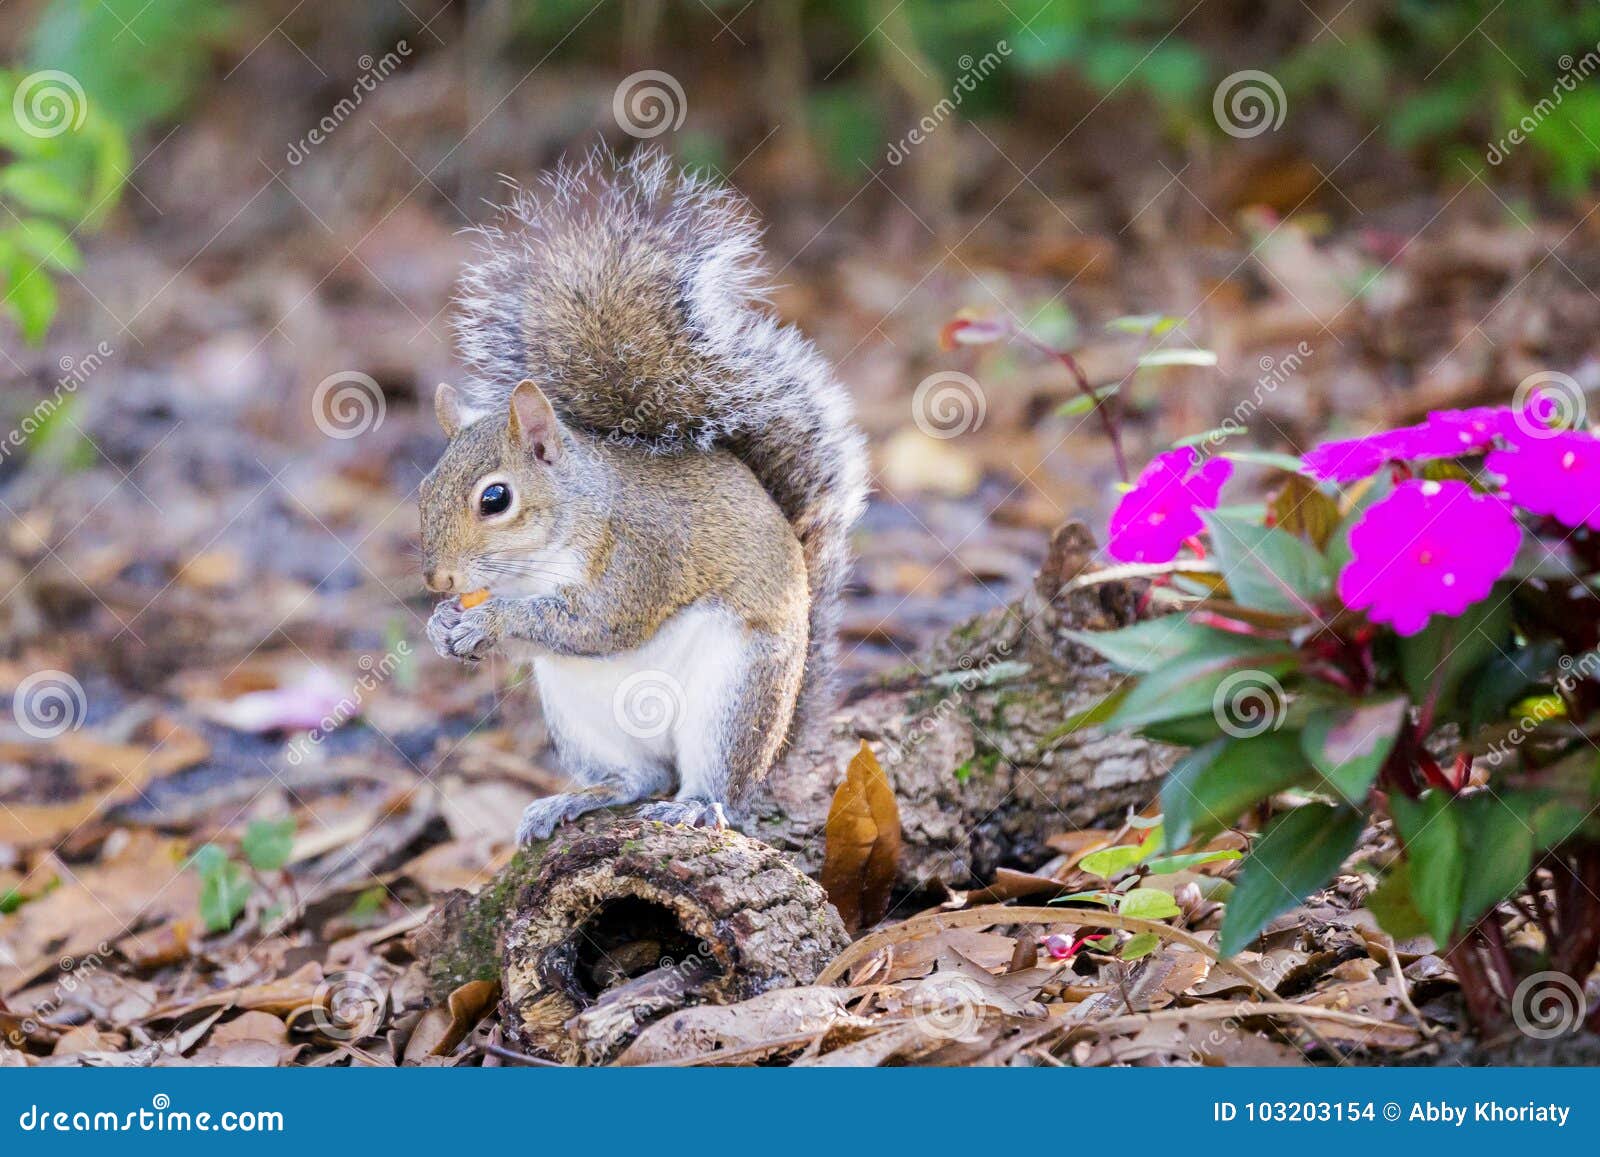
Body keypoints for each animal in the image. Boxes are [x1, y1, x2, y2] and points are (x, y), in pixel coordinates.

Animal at [419, 149, 868, 843]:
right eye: (422, 488)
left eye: (495, 499)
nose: (437, 580)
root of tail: (778, 749)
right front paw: (443, 626)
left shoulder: (643, 553)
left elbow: (597, 621)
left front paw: (488, 620)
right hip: (579, 718)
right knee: (637, 777)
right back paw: (571, 800)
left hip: (734, 696)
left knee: (717, 787)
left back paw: (694, 805)